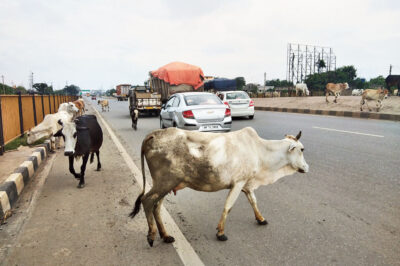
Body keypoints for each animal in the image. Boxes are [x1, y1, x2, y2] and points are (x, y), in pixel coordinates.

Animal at [129, 128, 310, 246]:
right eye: (301, 149)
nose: (307, 168)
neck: (259, 151)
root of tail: (152, 135)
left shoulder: (246, 184)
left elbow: (253, 201)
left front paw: (261, 219)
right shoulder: (238, 183)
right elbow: (228, 206)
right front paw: (221, 232)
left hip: (165, 186)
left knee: (156, 206)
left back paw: (165, 236)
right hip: (164, 183)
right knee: (147, 201)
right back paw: (152, 235)